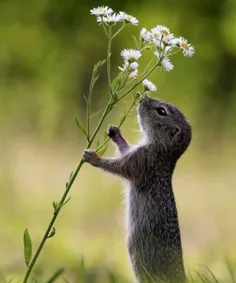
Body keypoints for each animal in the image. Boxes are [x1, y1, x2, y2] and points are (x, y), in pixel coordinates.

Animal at [83, 96, 192, 282]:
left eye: (161, 111)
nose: (142, 98)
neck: (164, 150)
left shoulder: (141, 160)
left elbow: (118, 166)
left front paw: (94, 157)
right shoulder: (136, 153)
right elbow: (124, 149)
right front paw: (115, 133)